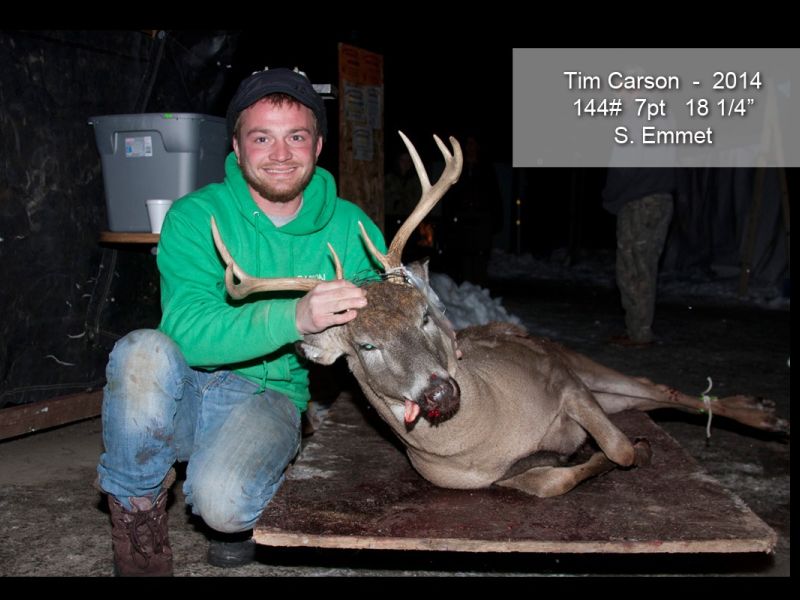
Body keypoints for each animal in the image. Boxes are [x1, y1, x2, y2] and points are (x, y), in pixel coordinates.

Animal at [210, 132, 789, 498]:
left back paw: (767, 413)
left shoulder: (564, 381)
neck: (487, 431)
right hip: (609, 392)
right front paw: (573, 458)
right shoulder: (488, 477)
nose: (439, 392)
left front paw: (636, 449)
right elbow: (549, 479)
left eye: (425, 315)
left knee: (663, 389)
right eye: (366, 346)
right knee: (654, 396)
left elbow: (622, 449)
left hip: (582, 365)